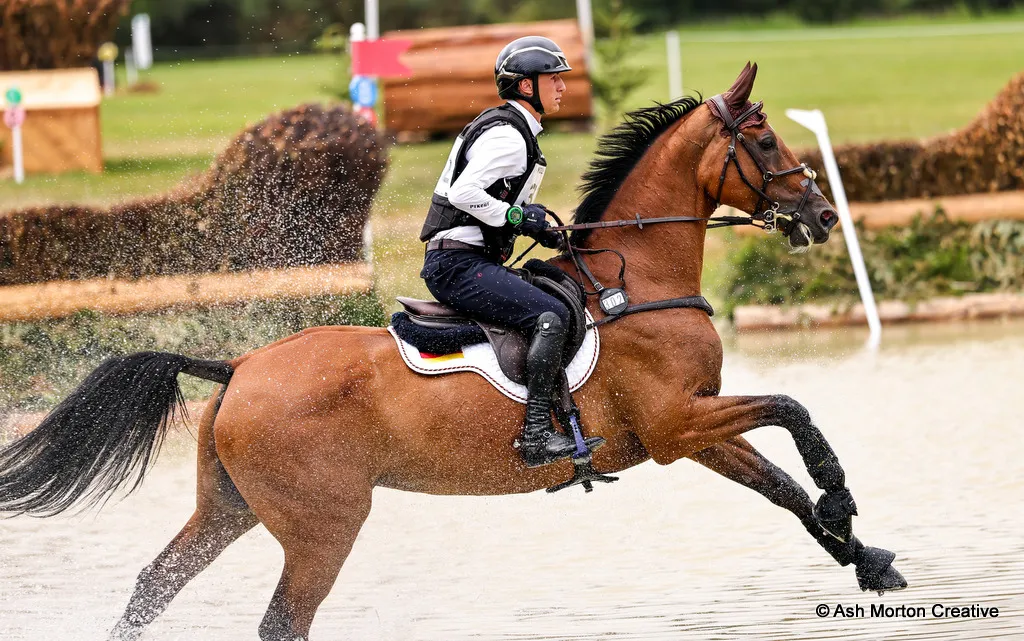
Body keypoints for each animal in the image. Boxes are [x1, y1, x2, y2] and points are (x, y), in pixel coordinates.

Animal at [0, 63, 906, 641]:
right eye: (765, 139)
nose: (823, 215)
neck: (635, 276)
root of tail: (239, 367)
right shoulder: (679, 424)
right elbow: (795, 411)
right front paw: (843, 495)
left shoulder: (692, 431)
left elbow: (780, 486)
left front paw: (864, 557)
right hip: (323, 525)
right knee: (281, 620)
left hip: (228, 506)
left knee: (154, 584)